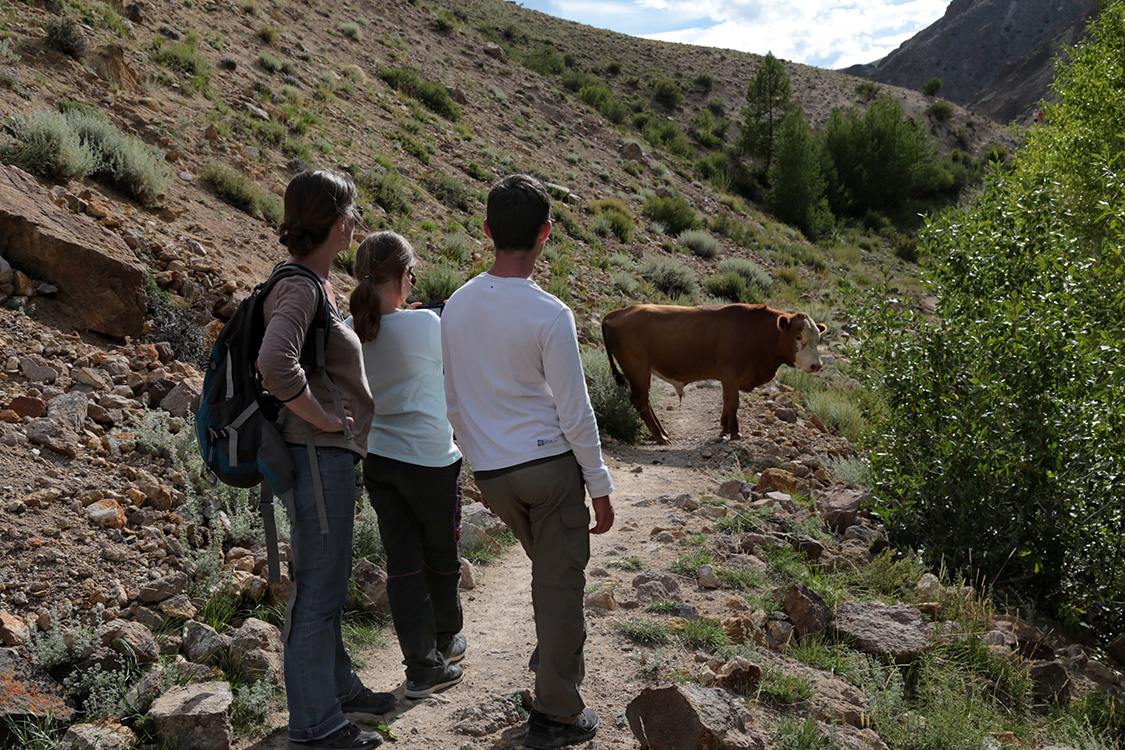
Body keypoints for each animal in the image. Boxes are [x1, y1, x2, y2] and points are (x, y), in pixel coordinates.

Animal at [603, 305, 832, 443]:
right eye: (798, 337)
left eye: (818, 338)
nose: (816, 365)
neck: (756, 333)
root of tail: (617, 312)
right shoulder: (731, 373)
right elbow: (732, 402)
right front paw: (735, 432)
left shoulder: (728, 378)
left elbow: (725, 401)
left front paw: (724, 428)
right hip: (637, 367)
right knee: (640, 399)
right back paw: (660, 436)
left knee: (645, 400)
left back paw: (662, 431)